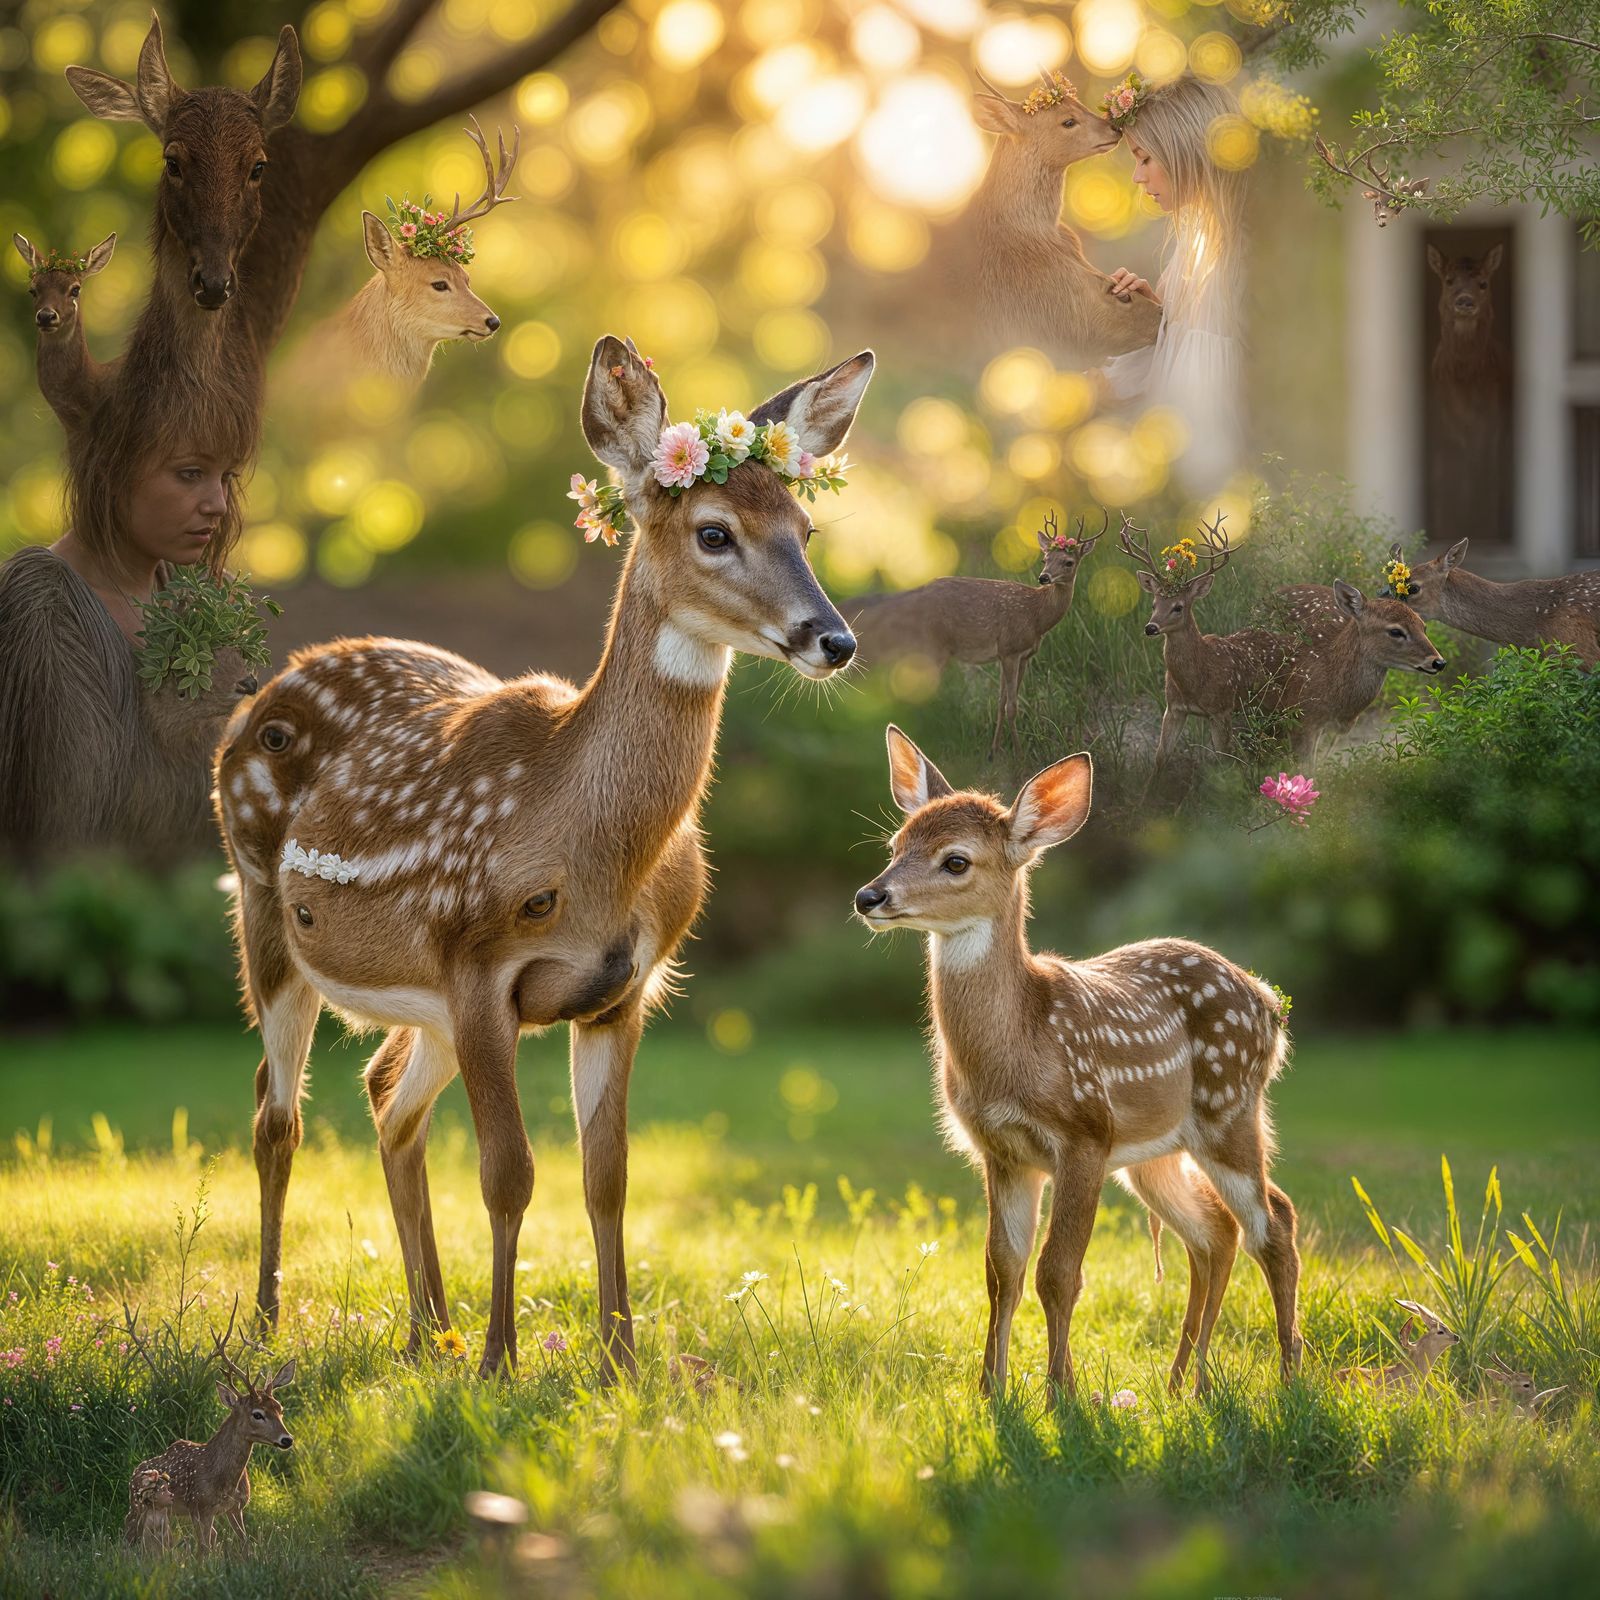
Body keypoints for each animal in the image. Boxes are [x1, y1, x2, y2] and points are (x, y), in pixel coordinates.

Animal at [125, 1306, 295, 1552]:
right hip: (137, 1505)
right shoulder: (200, 1506)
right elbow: (203, 1550)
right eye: (257, 1414)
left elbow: (245, 1544)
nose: (287, 1439)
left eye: (280, 1408)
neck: (223, 1480)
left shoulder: (237, 1507)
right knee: (129, 1534)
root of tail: (134, 1471)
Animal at [214, 337, 872, 1381]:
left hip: (421, 1002)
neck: (587, 849)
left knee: (388, 1102)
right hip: (261, 910)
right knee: (277, 1118)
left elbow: (607, 1179)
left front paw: (618, 1364)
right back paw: (274, 1324)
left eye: (806, 528)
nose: (834, 639)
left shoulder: (623, 988)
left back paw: (425, 1331)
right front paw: (500, 1363)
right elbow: (510, 1174)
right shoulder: (477, 962)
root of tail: (263, 693)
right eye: (716, 532)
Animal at [844, 510, 1105, 761]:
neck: (1037, 616)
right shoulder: (1010, 649)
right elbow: (1012, 706)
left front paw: (994, 752)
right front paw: (1019, 756)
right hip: (931, 646)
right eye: (1045, 559)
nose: (1044, 577)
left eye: (1068, 562)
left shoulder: (1020, 656)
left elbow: (1001, 703)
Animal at [854, 729, 1303, 1400]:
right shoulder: (1002, 1151)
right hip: (1155, 1153)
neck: (1021, 1044)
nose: (869, 896)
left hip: (1229, 1110)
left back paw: (1288, 1375)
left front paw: (1059, 1391)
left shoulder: (1085, 1133)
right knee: (1215, 1233)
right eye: (895, 845)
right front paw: (991, 1389)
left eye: (955, 861)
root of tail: (1268, 1001)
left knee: (1272, 1222)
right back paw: (1184, 1382)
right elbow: (1002, 1270)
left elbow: (1059, 1273)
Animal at [1122, 512, 1294, 787]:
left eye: (1178, 607)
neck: (1195, 681)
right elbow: (1160, 757)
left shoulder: (1221, 709)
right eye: (1153, 604)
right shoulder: (1173, 707)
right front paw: (1147, 793)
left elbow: (1224, 758)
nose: (1151, 627)